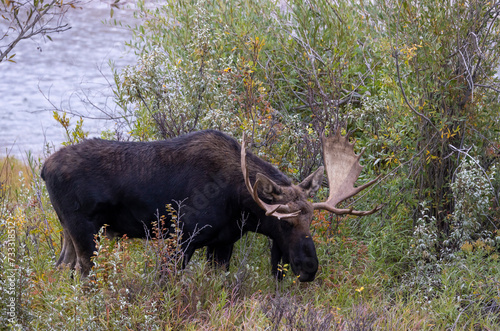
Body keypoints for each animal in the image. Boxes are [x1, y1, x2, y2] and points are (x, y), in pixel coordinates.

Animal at [42, 130, 378, 282]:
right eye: (284, 221)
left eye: (309, 220)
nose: (309, 267)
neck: (239, 204)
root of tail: (44, 167)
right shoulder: (180, 239)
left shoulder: (223, 243)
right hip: (85, 230)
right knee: (83, 274)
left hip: (68, 230)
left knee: (60, 267)